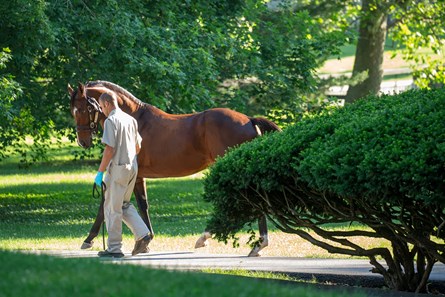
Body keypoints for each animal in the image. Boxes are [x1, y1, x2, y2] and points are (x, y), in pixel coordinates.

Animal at [67, 80, 280, 256]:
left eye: (83, 109)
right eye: (73, 111)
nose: (83, 142)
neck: (135, 117)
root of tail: (249, 120)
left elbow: (105, 205)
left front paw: (89, 239)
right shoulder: (139, 176)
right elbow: (143, 205)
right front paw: (146, 241)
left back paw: (243, 242)